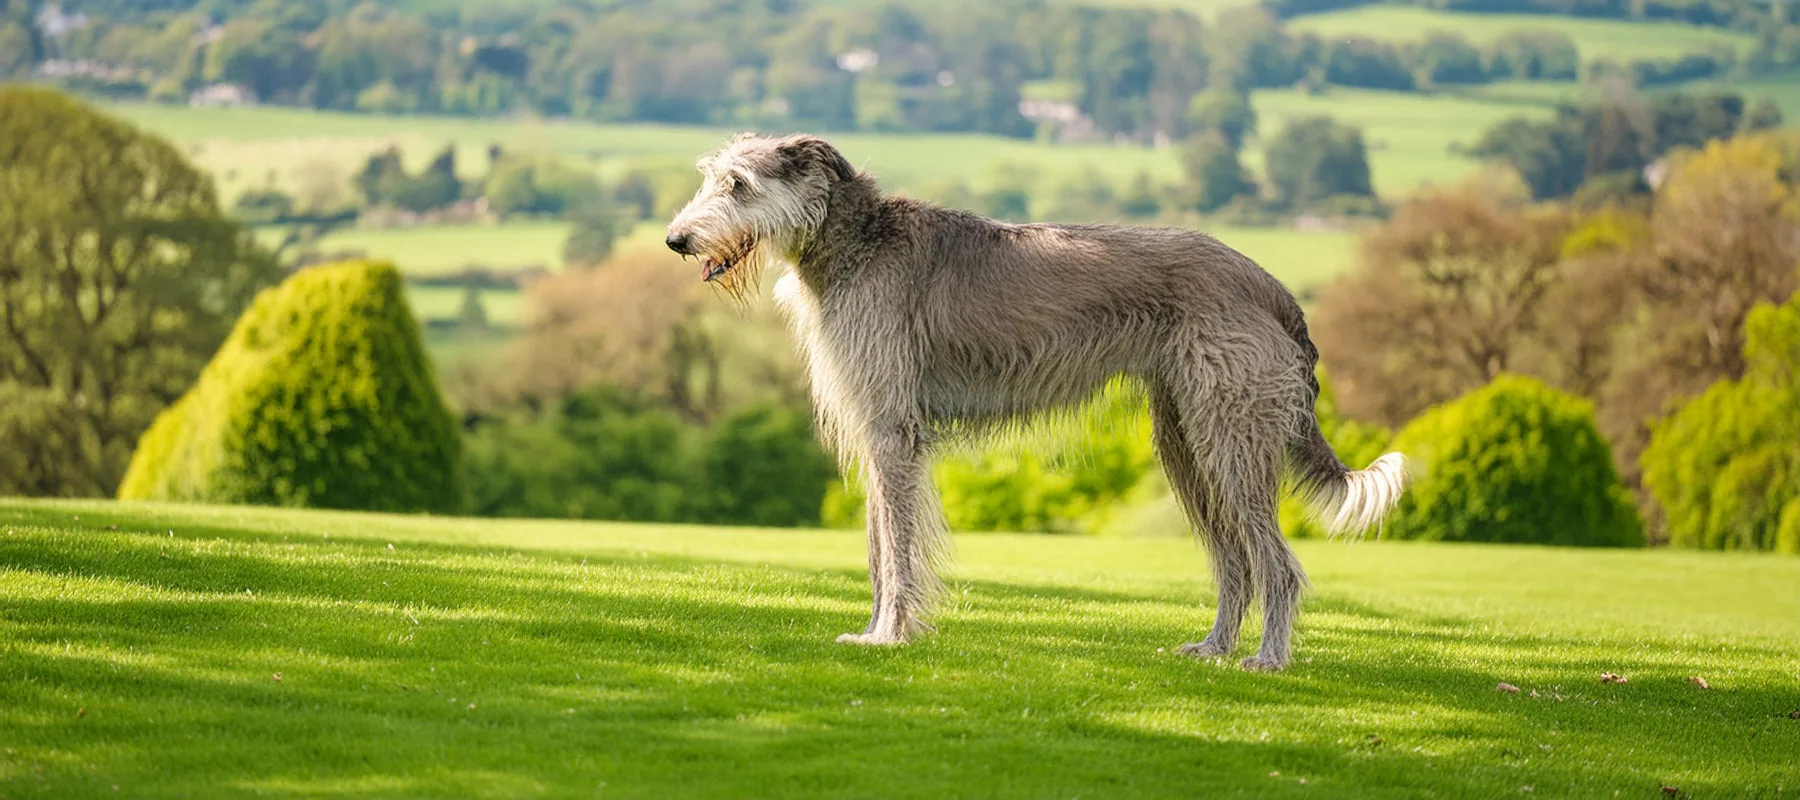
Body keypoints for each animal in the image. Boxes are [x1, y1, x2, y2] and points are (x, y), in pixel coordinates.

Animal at [662, 131, 1404, 670]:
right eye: (709, 177)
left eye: (739, 184)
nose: (676, 240)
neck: (856, 241)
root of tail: (1271, 286)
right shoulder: (877, 432)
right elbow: (879, 548)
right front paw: (875, 632)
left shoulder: (893, 431)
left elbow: (897, 551)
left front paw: (889, 638)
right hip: (1186, 443)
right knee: (1235, 562)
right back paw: (1213, 649)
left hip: (1231, 439)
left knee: (1277, 565)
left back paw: (1268, 660)